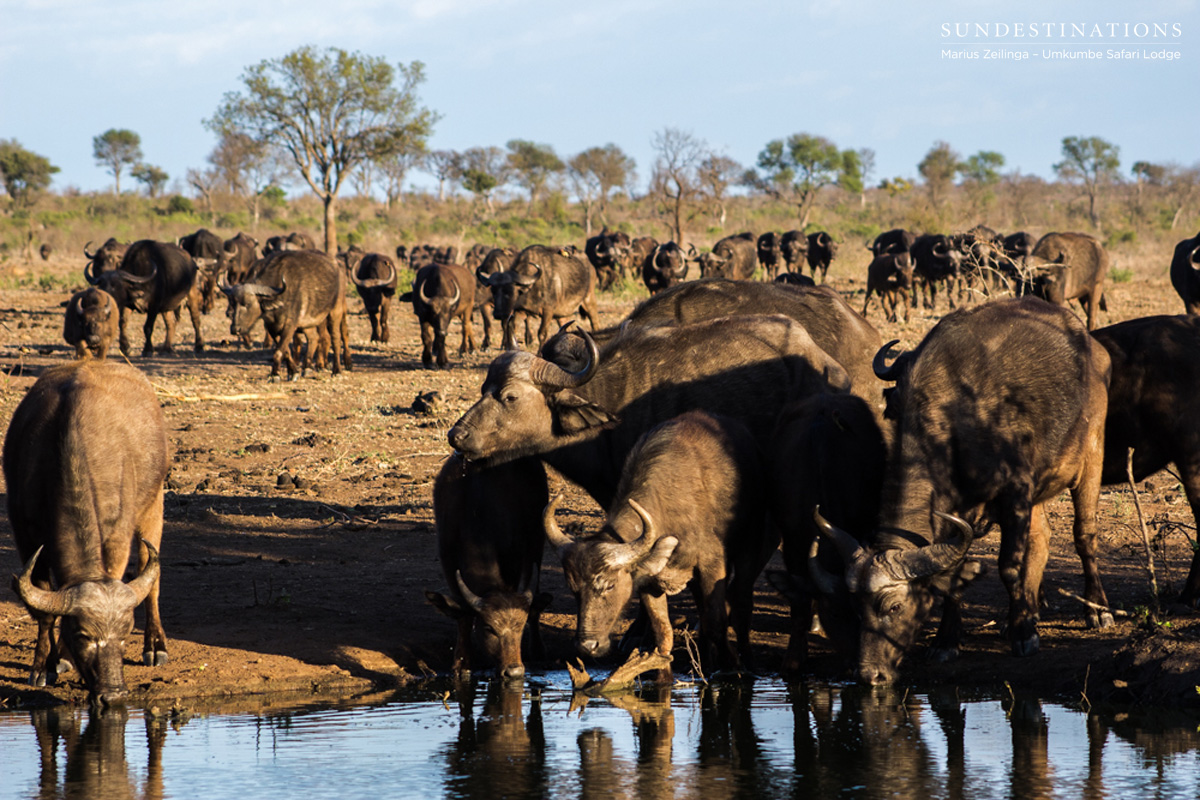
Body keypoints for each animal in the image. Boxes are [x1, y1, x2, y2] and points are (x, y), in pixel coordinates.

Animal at [5, 361, 169, 706]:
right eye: (83, 635)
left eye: (125, 633)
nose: (114, 694)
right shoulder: (25, 532)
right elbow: (44, 612)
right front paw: (45, 666)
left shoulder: (117, 535)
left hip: (155, 502)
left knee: (152, 577)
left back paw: (155, 647)